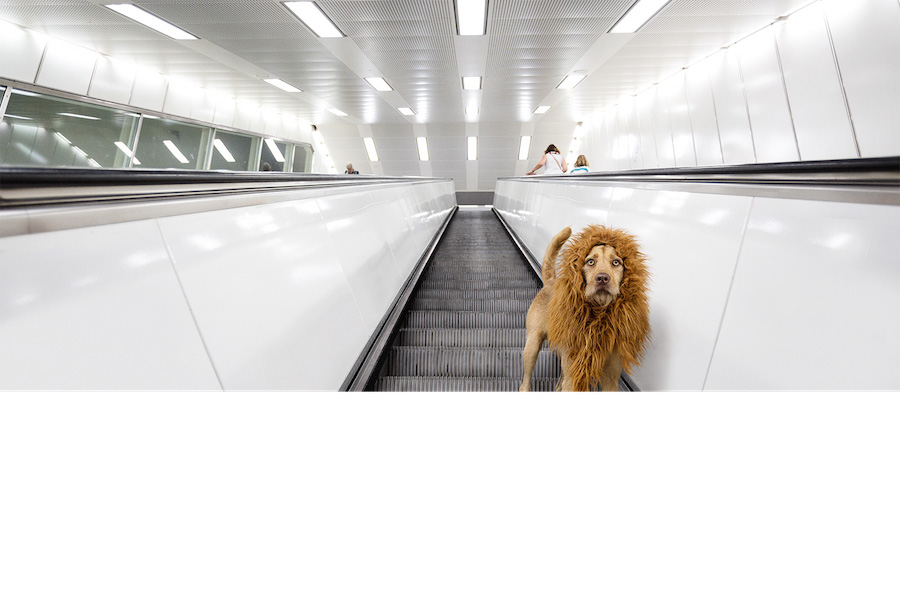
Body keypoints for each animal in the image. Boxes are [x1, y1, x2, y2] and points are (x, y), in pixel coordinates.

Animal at [520, 226, 648, 392]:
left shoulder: (611, 378)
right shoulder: (574, 374)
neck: (598, 315)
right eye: (590, 262)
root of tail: (550, 282)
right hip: (533, 344)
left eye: (616, 262)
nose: (602, 278)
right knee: (526, 378)